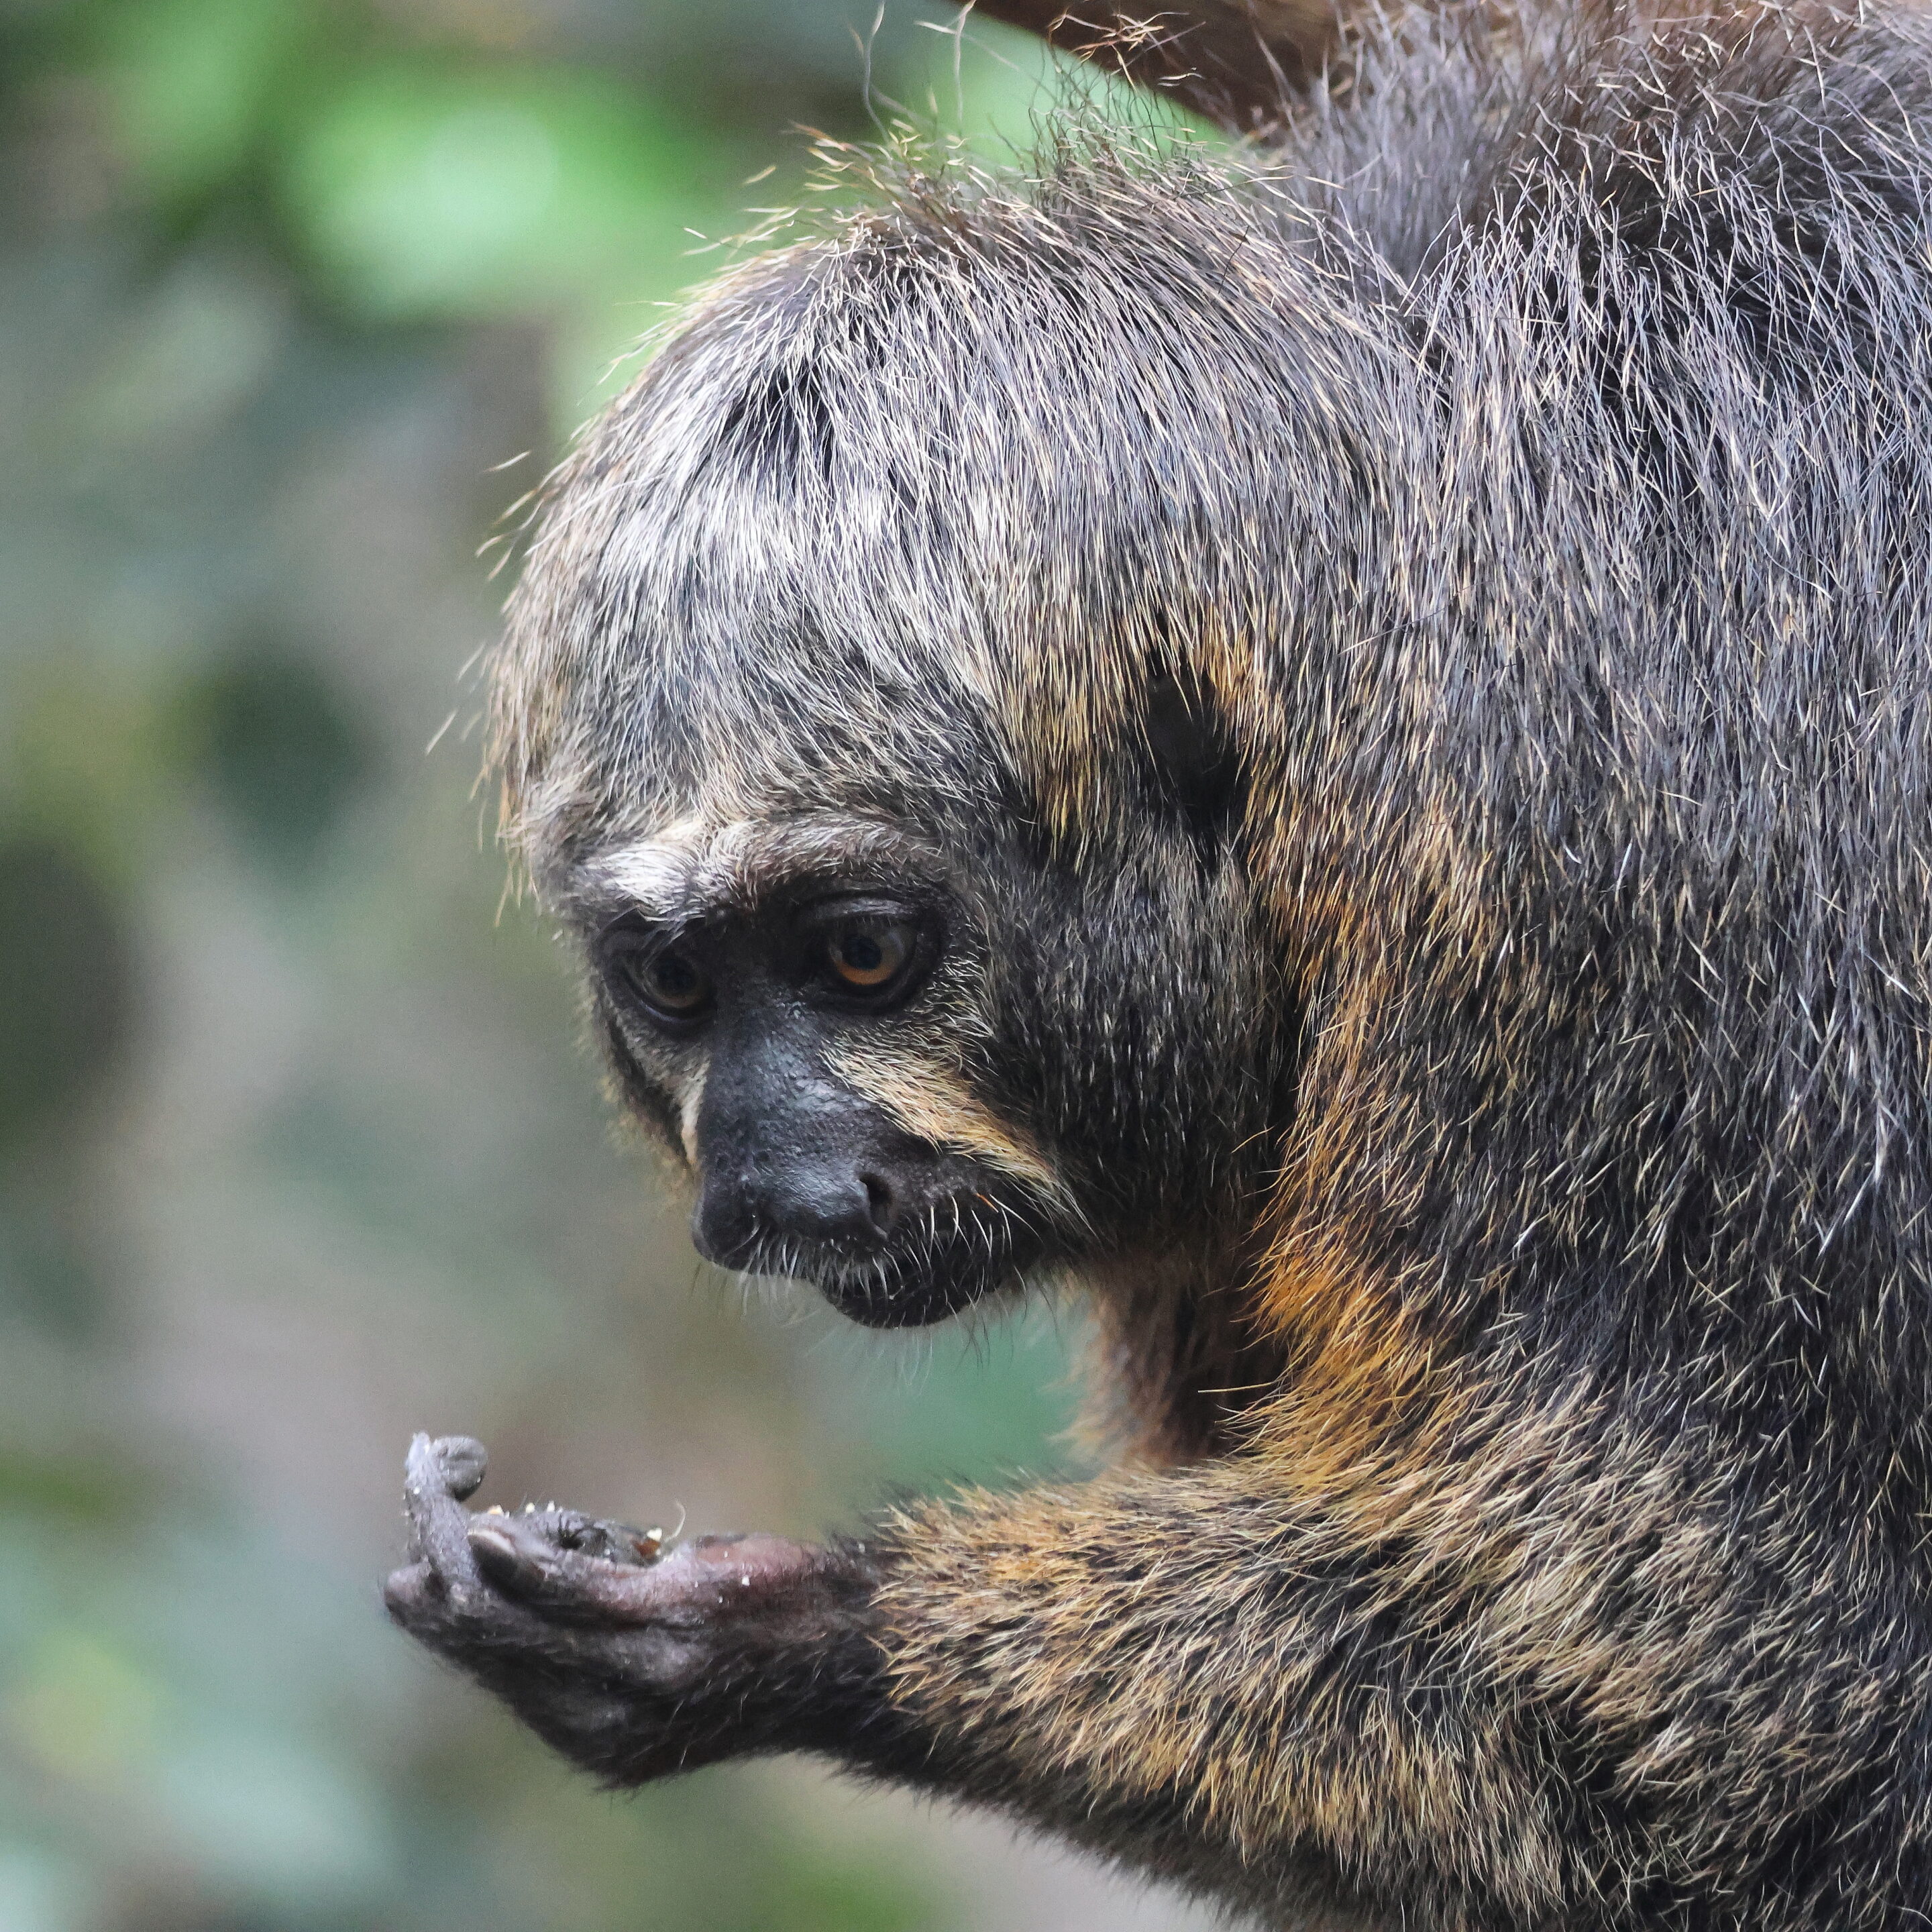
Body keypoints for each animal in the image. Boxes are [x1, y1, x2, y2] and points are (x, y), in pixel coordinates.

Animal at [382, 0, 1932, 1924]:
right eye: (676, 988)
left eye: (863, 957)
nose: (773, 1190)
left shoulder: (1644, 923)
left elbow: (1753, 1721)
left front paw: (783, 1634)